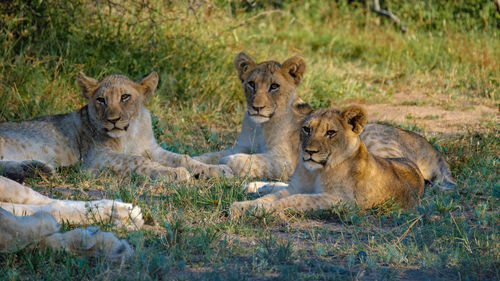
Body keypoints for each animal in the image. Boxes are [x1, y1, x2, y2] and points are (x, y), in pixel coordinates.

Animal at [229, 105, 422, 217]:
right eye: (307, 129)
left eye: (330, 133)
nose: (310, 151)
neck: (315, 173)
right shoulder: (296, 187)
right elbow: (272, 196)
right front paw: (242, 206)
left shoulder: (342, 201)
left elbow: (297, 199)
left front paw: (261, 209)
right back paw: (253, 186)